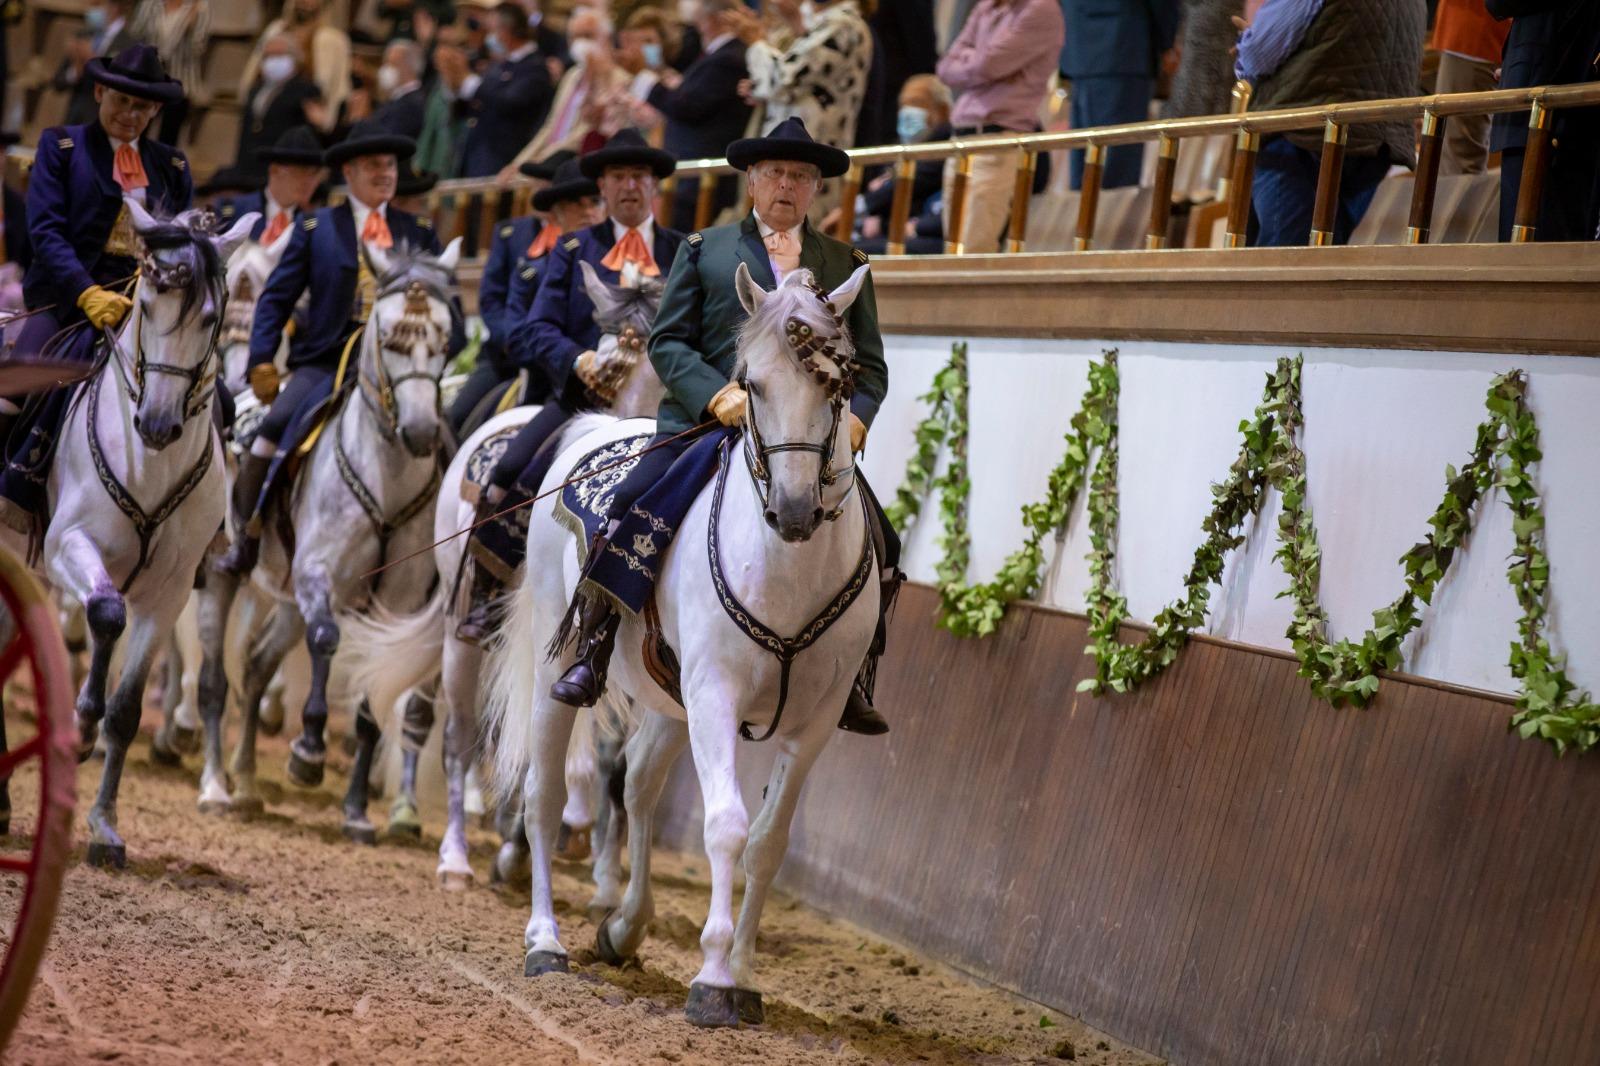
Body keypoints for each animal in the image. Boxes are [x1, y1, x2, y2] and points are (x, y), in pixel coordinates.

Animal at [17, 196, 254, 864]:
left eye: (209, 317)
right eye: (145, 305)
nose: (156, 423)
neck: (150, 464)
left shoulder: (169, 592)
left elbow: (125, 707)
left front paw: (104, 826)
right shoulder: (68, 544)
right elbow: (104, 613)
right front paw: (81, 724)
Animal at [192, 238, 464, 838]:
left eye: (444, 340)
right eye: (390, 339)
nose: (420, 433)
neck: (386, 478)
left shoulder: (392, 603)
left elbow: (368, 703)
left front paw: (357, 810)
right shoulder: (319, 575)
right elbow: (326, 643)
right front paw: (308, 752)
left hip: (290, 600)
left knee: (256, 666)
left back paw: (248, 783)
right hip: (224, 579)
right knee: (215, 682)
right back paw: (215, 785)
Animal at [350, 259, 668, 889]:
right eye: (606, 372)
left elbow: (608, 761)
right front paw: (523, 842)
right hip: (465, 633)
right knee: (460, 737)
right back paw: (456, 856)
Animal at [483, 264, 876, 1024]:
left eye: (837, 387)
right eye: (752, 384)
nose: (792, 511)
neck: (789, 568)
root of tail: (602, 427)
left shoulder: (813, 723)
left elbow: (767, 843)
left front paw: (744, 976)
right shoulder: (716, 694)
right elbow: (725, 826)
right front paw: (715, 978)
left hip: (670, 702)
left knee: (636, 785)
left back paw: (623, 926)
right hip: (566, 670)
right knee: (546, 794)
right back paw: (545, 942)